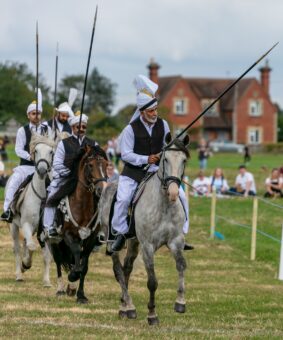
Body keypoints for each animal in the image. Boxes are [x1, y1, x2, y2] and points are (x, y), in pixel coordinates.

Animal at [8, 134, 56, 286]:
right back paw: (19, 273)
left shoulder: (45, 231)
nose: (42, 170)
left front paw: (46, 281)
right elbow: (31, 246)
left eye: (51, 152)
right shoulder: (26, 224)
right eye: (35, 150)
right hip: (14, 227)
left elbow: (46, 255)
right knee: (17, 248)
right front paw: (26, 264)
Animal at [48, 143, 108, 302]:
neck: (82, 205)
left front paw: (81, 295)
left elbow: (84, 265)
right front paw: (72, 276)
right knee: (58, 261)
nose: (102, 190)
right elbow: (75, 255)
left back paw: (71, 288)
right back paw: (61, 289)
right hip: (55, 242)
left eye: (106, 165)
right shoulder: (68, 235)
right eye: (90, 165)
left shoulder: (90, 239)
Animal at [100, 133, 191, 324]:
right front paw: (152, 314)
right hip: (112, 242)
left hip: (134, 242)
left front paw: (180, 302)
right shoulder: (148, 246)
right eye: (165, 159)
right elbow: (152, 282)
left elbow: (181, 266)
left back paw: (125, 308)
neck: (164, 205)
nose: (173, 192)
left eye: (184, 160)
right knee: (119, 271)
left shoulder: (175, 242)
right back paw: (130, 305)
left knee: (126, 268)